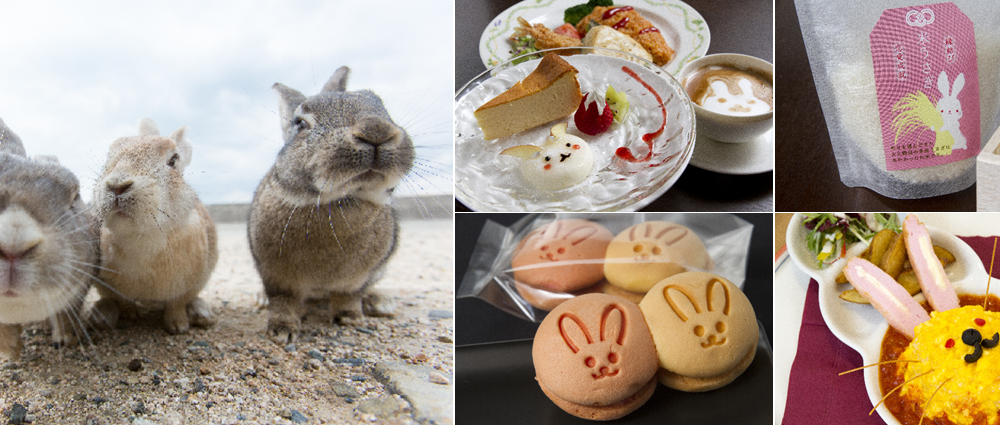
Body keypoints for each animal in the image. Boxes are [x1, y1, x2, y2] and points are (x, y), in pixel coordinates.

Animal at [248, 67, 416, 344]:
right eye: (300, 123)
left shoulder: (356, 279)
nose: (376, 130)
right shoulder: (277, 276)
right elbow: (284, 301)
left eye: (381, 105)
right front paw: (282, 331)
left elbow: (348, 296)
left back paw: (379, 302)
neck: (337, 201)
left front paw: (350, 319)